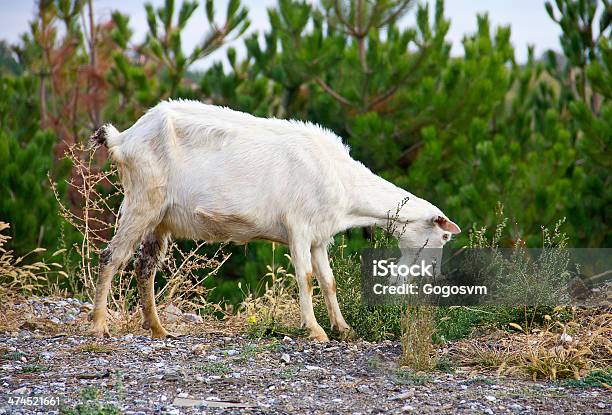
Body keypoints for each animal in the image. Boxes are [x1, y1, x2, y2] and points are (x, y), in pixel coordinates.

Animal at [89, 101, 460, 342]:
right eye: (444, 238)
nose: (437, 275)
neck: (344, 183)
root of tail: (124, 138)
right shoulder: (299, 227)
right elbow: (306, 279)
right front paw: (316, 331)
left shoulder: (319, 237)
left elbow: (328, 281)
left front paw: (343, 328)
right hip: (142, 201)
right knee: (112, 257)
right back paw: (98, 326)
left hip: (159, 218)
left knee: (145, 267)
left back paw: (157, 328)